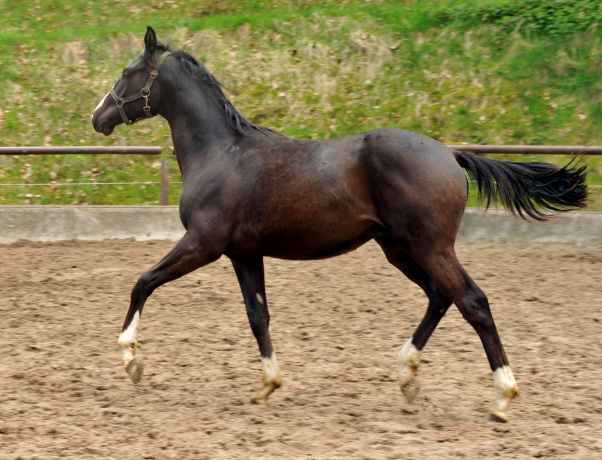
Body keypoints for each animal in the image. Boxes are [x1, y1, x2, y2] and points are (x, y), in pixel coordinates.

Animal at [91, 25, 584, 420]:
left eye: (127, 72)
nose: (98, 117)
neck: (221, 153)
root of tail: (451, 154)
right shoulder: (244, 254)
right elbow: (258, 316)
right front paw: (267, 386)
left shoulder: (202, 244)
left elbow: (143, 281)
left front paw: (131, 360)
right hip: (398, 248)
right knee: (440, 297)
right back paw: (407, 376)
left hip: (429, 247)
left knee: (473, 302)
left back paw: (502, 397)